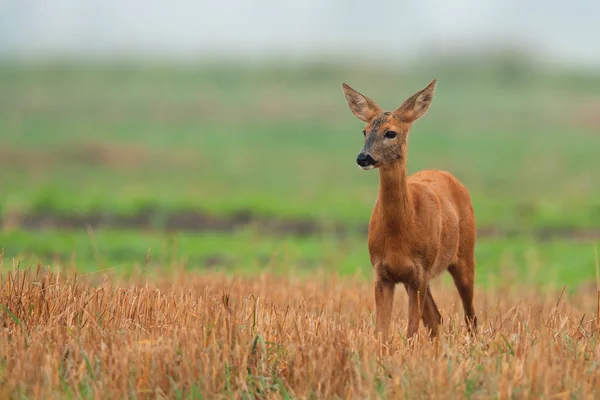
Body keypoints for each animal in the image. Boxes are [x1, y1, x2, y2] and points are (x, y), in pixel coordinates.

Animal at [342, 79, 478, 342]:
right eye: (364, 131)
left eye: (390, 132)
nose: (363, 157)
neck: (403, 230)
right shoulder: (382, 273)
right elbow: (382, 332)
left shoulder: (420, 271)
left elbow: (411, 332)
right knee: (436, 318)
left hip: (465, 255)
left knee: (470, 317)